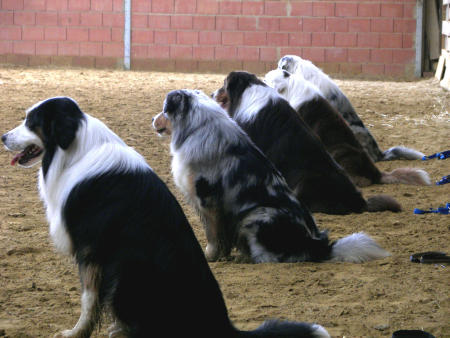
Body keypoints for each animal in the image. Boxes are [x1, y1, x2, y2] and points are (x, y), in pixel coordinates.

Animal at [2, 95, 334, 338]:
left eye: (31, 122)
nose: (4, 136)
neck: (73, 150)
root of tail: (219, 324)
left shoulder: (91, 251)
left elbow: (88, 300)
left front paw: (75, 333)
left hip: (127, 275)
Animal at [154, 89, 390, 266]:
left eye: (164, 109)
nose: (152, 119)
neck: (195, 129)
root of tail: (317, 245)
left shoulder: (207, 200)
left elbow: (213, 235)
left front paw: (211, 257)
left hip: (256, 216)